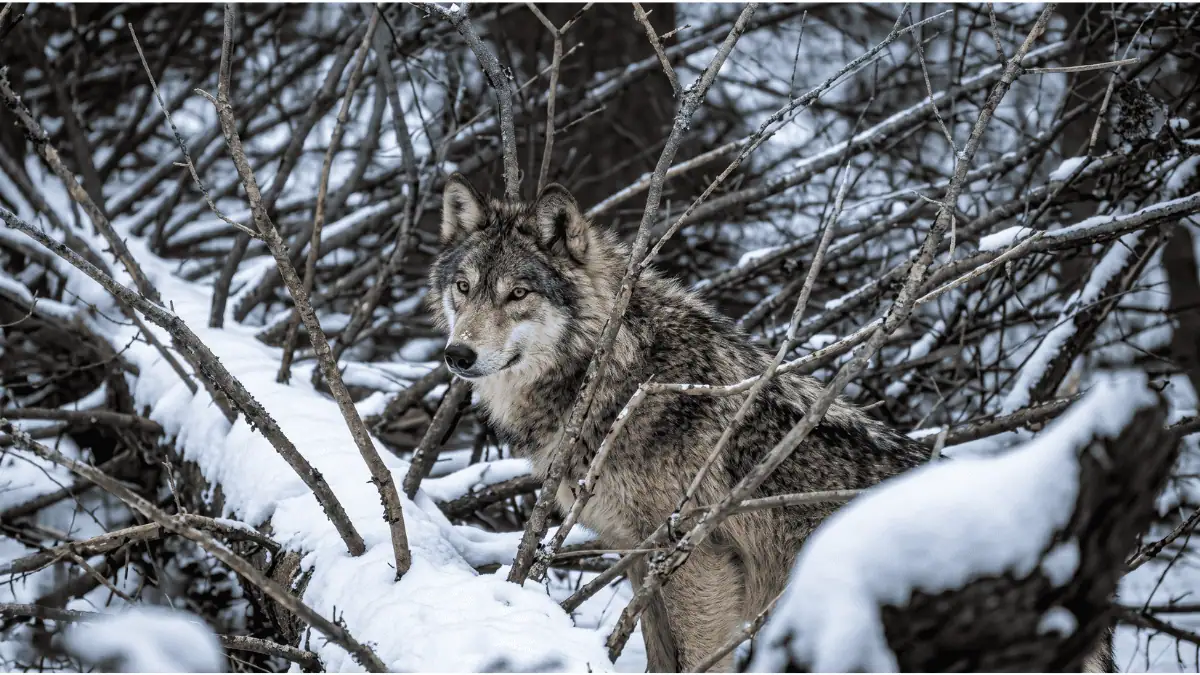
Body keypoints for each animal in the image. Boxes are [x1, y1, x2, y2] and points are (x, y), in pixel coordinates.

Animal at [426, 173, 1117, 673]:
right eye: (464, 286)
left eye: (517, 294)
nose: (458, 355)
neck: (619, 374)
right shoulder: (635, 555)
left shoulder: (695, 562)